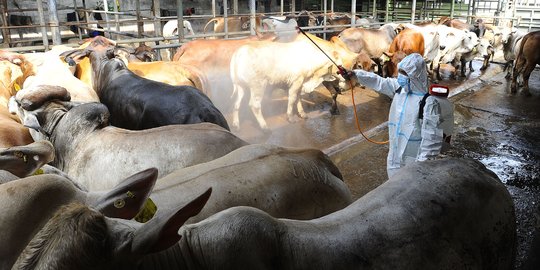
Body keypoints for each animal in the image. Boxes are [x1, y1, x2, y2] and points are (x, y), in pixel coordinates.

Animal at [230, 33, 360, 130]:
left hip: (240, 86)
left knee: (236, 103)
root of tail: (238, 53)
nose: (351, 79)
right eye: (340, 66)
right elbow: (292, 99)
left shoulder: (300, 84)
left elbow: (298, 98)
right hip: (258, 86)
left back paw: (236, 124)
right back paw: (264, 126)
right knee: (254, 105)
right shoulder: (296, 82)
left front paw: (303, 114)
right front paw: (291, 118)